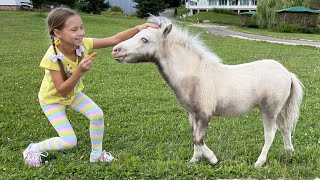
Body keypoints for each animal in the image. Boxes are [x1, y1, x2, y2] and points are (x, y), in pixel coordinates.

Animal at [111, 16, 304, 167]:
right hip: (279, 110)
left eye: (144, 40)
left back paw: (259, 162)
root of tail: (287, 73)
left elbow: (197, 138)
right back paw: (289, 154)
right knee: (285, 128)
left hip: (268, 109)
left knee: (270, 133)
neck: (194, 74)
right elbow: (193, 136)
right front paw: (194, 160)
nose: (115, 50)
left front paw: (212, 159)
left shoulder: (205, 113)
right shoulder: (192, 113)